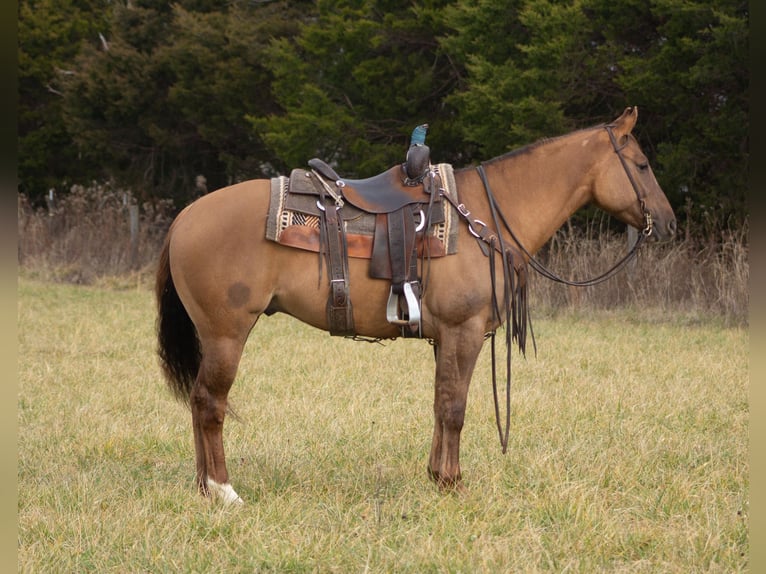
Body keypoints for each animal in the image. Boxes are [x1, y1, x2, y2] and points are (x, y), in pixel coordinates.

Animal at [156, 107, 680, 504]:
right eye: (642, 165)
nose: (669, 222)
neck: (482, 216)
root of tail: (186, 216)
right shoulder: (464, 331)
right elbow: (456, 406)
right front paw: (453, 482)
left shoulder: (444, 336)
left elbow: (439, 402)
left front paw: (436, 476)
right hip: (227, 334)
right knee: (210, 403)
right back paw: (224, 491)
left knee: (199, 402)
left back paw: (204, 488)